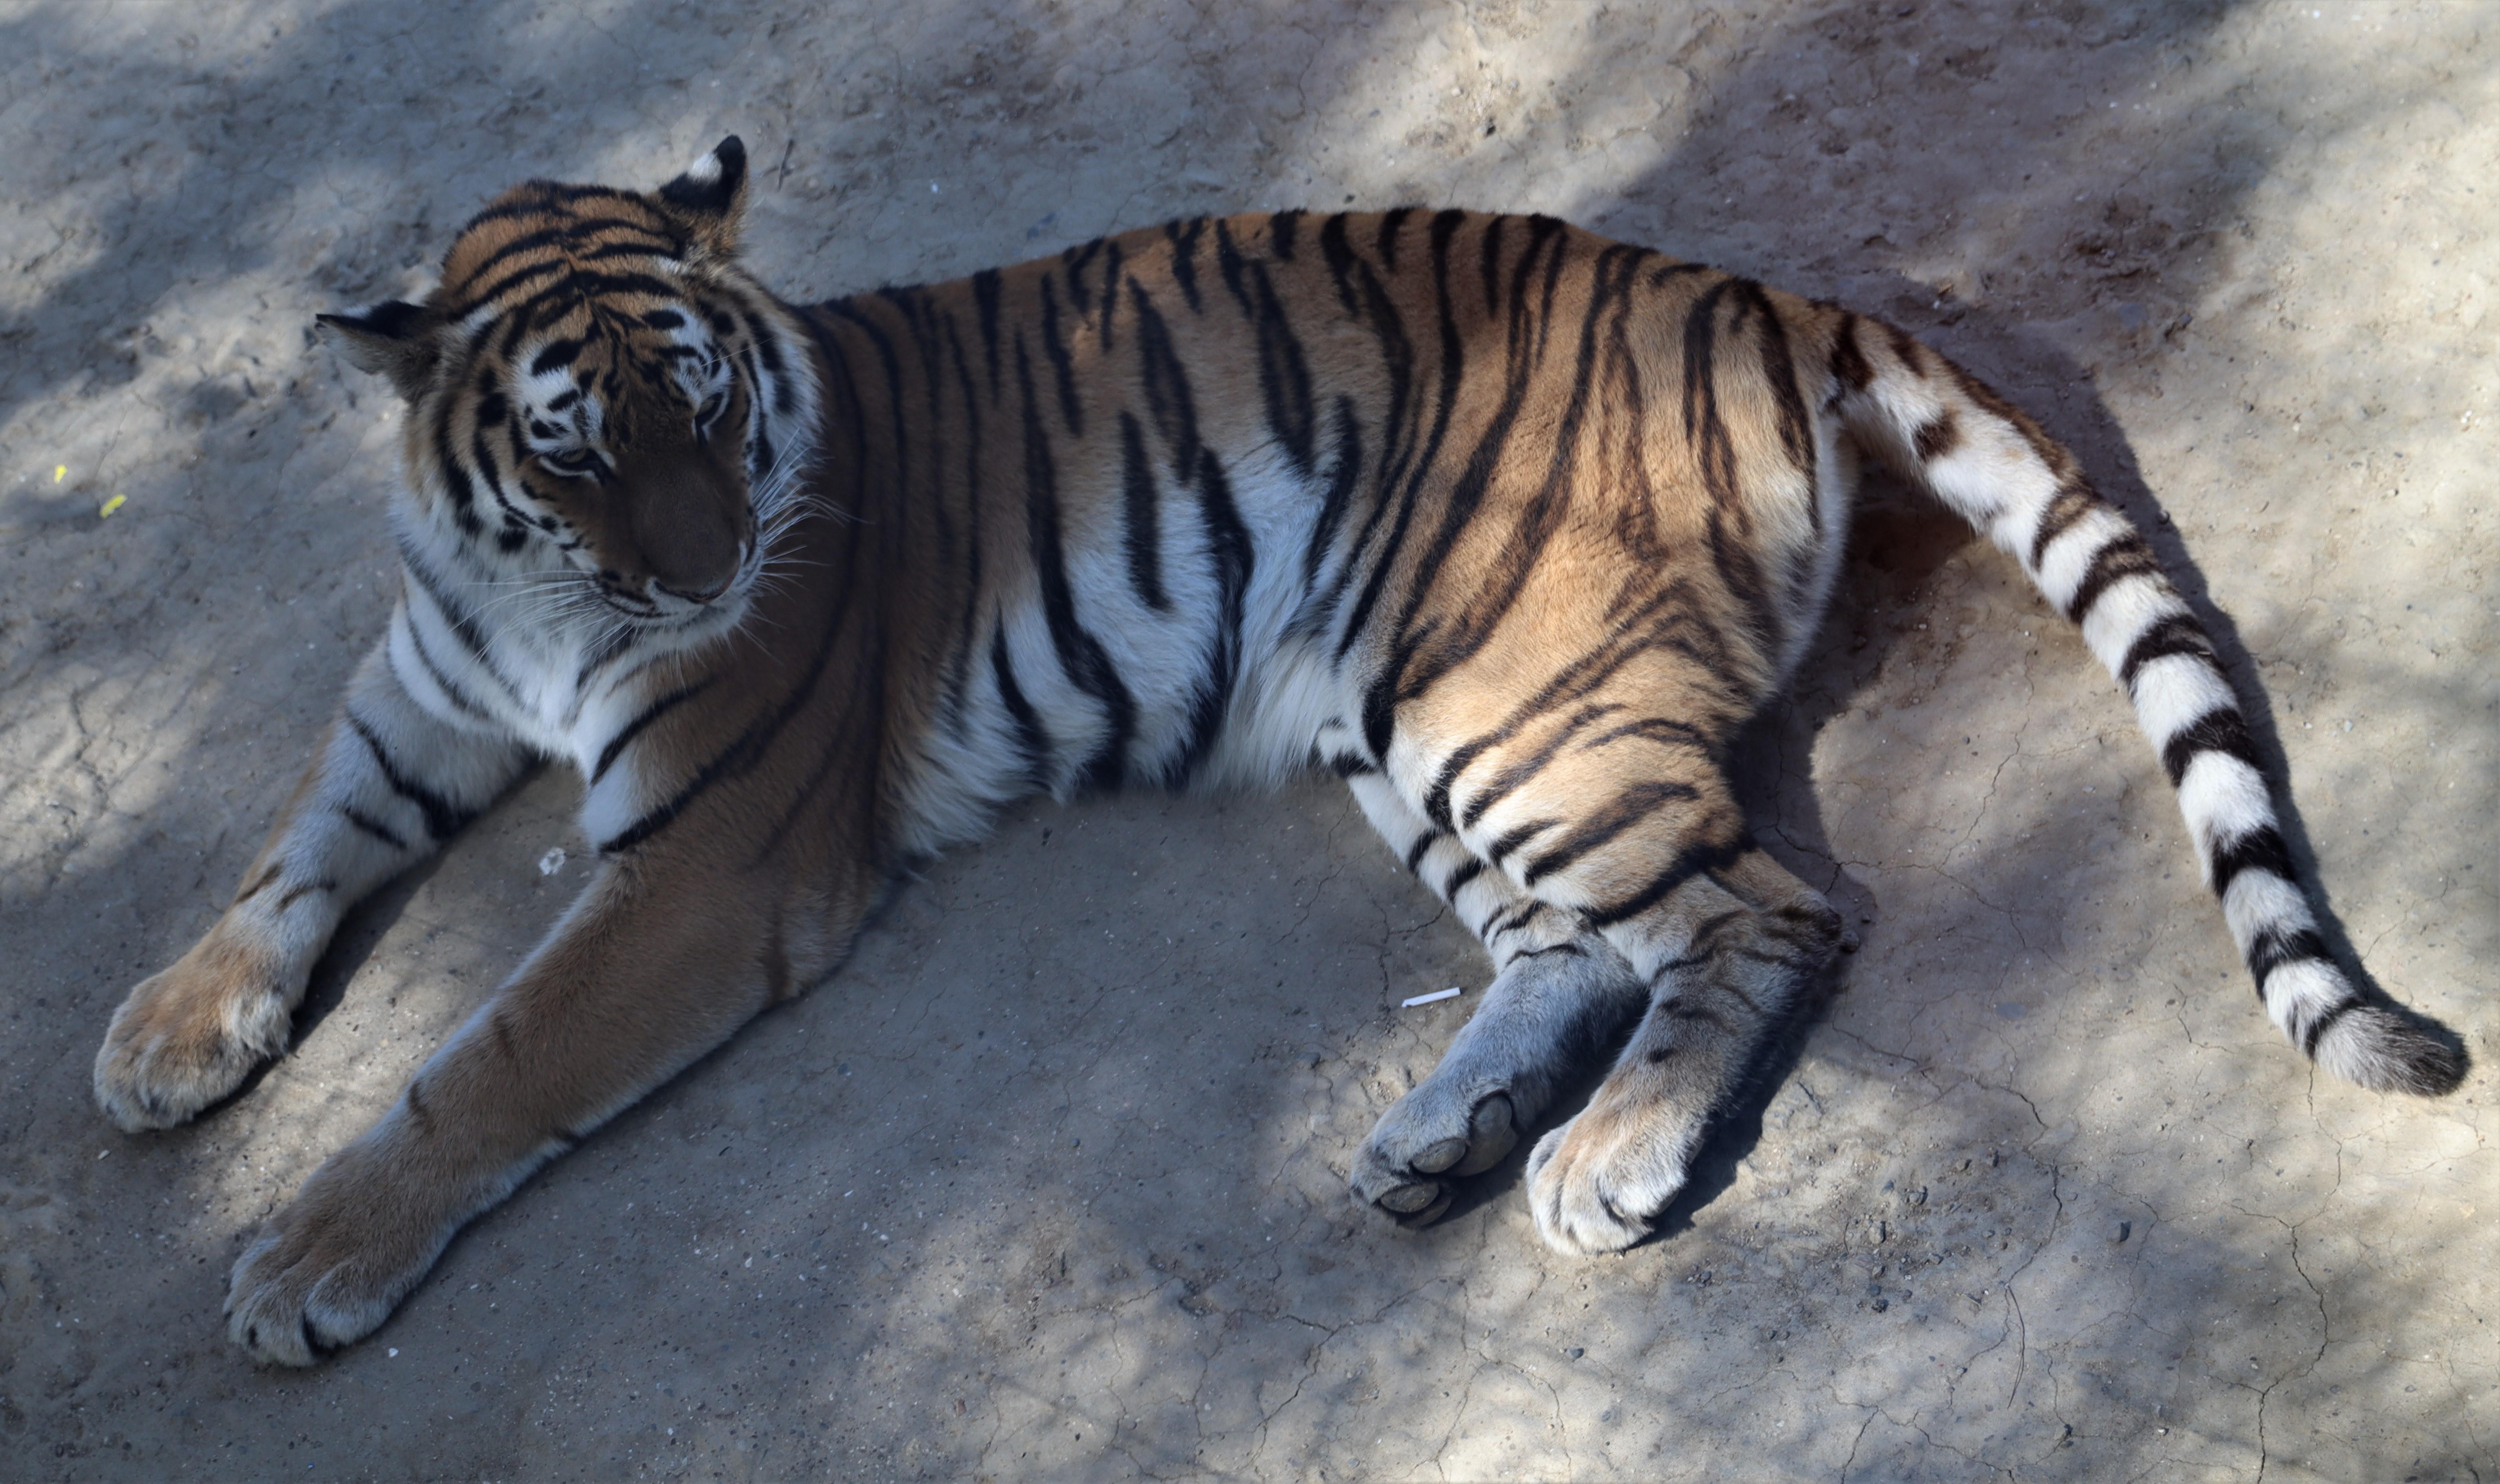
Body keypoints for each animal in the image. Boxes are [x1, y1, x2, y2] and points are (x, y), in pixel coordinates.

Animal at [88, 138, 2470, 1359]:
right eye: (575, 442)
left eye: (703, 402)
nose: (700, 574)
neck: (528, 600)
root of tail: (1742, 294)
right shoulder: (415, 686)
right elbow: (290, 847)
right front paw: (164, 1029)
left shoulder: (710, 855)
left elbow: (492, 1051)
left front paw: (297, 1258)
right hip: (1405, 707)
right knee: (1584, 940)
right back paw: (1438, 1134)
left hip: (1506, 698)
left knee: (1770, 903)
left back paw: (1606, 1159)